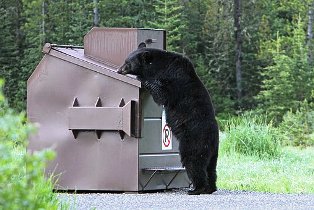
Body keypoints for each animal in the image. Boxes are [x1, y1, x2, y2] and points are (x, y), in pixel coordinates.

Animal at [117, 43, 218, 195]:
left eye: (127, 63)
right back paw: (211, 187)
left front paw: (142, 79)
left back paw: (197, 188)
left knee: (194, 161)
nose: (119, 70)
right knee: (211, 168)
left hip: (194, 140)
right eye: (125, 60)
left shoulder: (174, 79)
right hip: (213, 151)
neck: (161, 66)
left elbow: (162, 94)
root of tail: (212, 138)